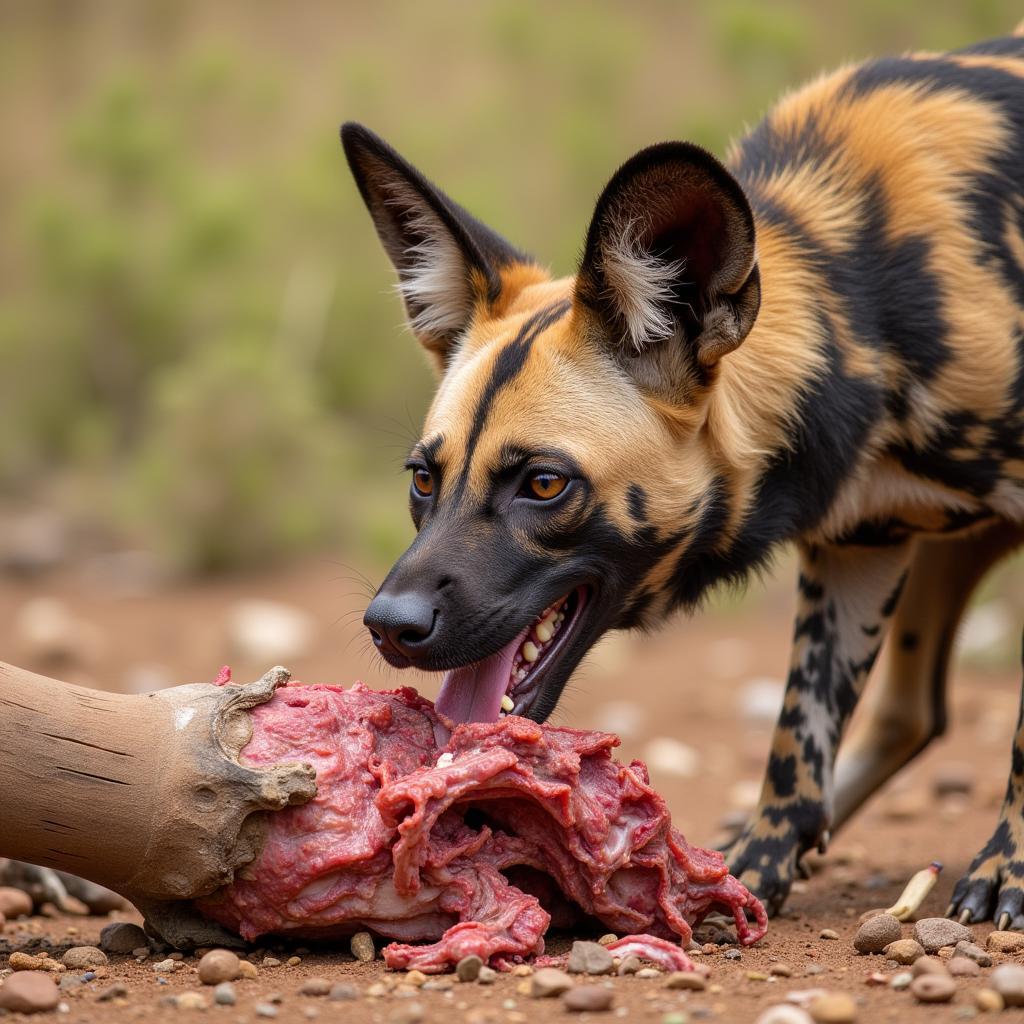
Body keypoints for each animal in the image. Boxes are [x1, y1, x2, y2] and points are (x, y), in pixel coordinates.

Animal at [342, 32, 1024, 925]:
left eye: (544, 485)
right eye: (425, 478)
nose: (389, 625)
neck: (864, 313)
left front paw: (1009, 868)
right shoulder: (858, 545)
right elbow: (795, 742)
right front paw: (752, 869)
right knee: (910, 713)